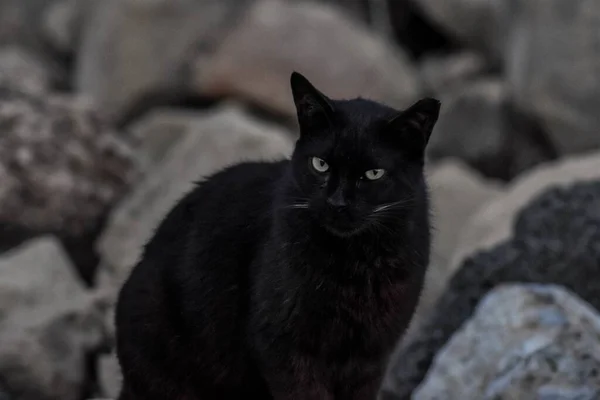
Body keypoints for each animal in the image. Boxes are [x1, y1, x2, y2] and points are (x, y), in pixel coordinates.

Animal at [115, 72, 440, 400]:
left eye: (374, 174)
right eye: (320, 164)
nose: (337, 203)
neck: (356, 264)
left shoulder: (371, 357)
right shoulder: (284, 348)